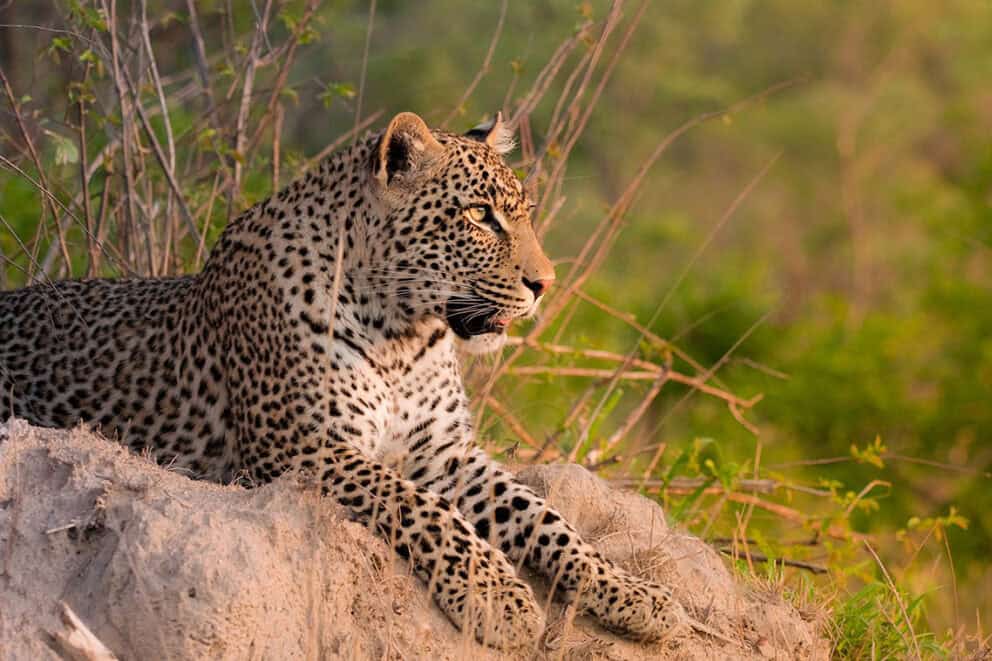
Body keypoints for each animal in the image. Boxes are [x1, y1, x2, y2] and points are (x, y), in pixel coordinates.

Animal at [0, 111, 687, 650]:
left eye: (521, 216)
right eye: (479, 215)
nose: (544, 284)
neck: (403, 335)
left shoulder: (446, 453)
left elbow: (546, 517)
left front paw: (634, 593)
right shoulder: (302, 446)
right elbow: (423, 508)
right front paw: (499, 596)